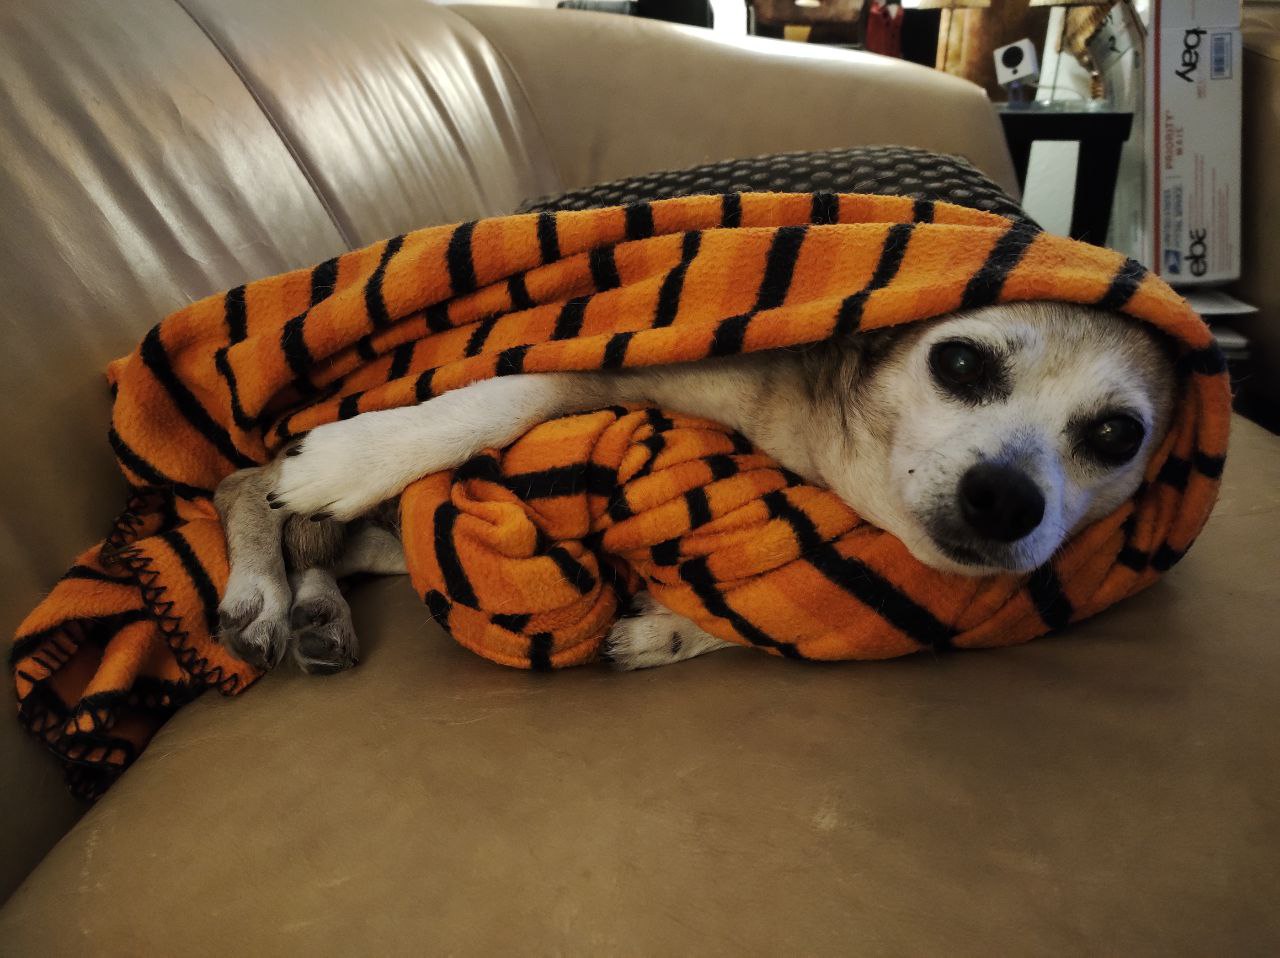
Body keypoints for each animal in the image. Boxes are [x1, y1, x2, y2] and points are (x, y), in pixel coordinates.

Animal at [213, 302, 1176, 674]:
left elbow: (759, 612)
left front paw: (664, 630)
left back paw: (317, 607)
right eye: (961, 362)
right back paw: (261, 590)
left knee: (345, 550)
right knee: (241, 483)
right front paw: (355, 455)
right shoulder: (619, 362)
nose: (1007, 497)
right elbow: (506, 394)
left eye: (1117, 435)